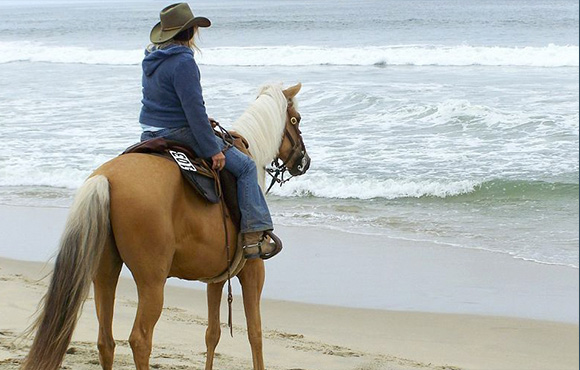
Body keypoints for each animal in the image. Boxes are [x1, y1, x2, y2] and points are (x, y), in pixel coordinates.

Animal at [21, 82, 312, 368]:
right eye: (296, 120)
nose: (304, 161)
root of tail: (107, 178)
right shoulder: (253, 270)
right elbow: (255, 334)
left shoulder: (218, 276)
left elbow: (212, 334)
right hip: (152, 281)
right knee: (140, 340)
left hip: (104, 272)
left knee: (106, 341)